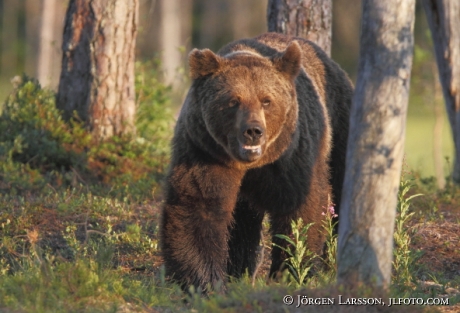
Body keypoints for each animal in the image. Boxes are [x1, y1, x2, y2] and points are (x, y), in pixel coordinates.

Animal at [161, 33, 352, 292]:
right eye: (233, 101)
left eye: (266, 100)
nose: (253, 131)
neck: (250, 165)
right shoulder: (204, 150)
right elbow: (198, 206)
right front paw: (204, 281)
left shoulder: (292, 158)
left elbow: (301, 209)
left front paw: (292, 272)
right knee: (242, 224)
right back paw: (239, 272)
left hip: (339, 122)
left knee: (342, 182)